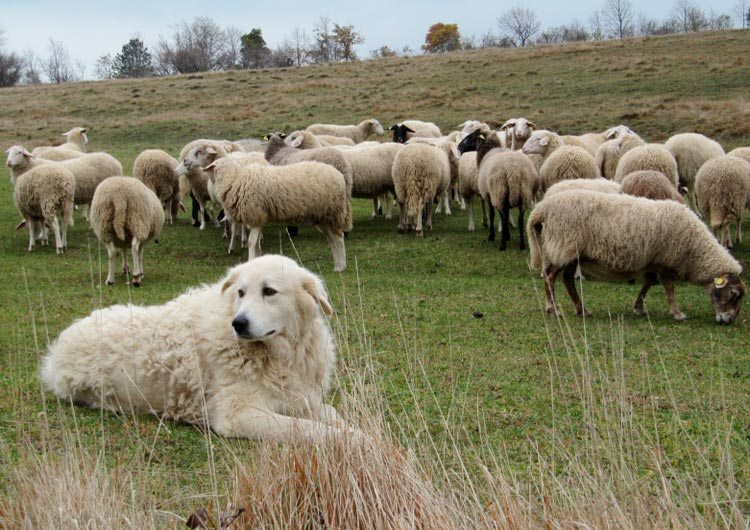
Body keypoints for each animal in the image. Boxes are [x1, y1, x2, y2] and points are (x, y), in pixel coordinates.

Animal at [45, 254, 352, 440]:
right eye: (241, 293)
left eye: (269, 291)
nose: (238, 324)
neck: (280, 353)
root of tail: (58, 346)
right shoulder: (238, 415)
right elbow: (311, 429)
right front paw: (352, 441)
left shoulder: (298, 397)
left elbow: (331, 414)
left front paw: (353, 430)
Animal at [204, 158, 354, 270]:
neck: (234, 178)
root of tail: (340, 176)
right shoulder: (259, 218)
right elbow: (257, 244)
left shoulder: (255, 215)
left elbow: (252, 242)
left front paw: (251, 260)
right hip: (323, 216)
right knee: (332, 239)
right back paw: (337, 266)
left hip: (333, 212)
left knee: (339, 238)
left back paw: (341, 266)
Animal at [528, 190, 748, 322]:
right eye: (733, 294)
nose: (728, 321)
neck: (694, 249)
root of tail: (542, 209)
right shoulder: (664, 260)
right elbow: (669, 287)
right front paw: (677, 313)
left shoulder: (652, 260)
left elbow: (648, 283)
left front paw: (639, 307)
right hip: (565, 246)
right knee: (550, 276)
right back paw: (553, 309)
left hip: (572, 253)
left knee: (566, 280)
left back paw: (581, 309)